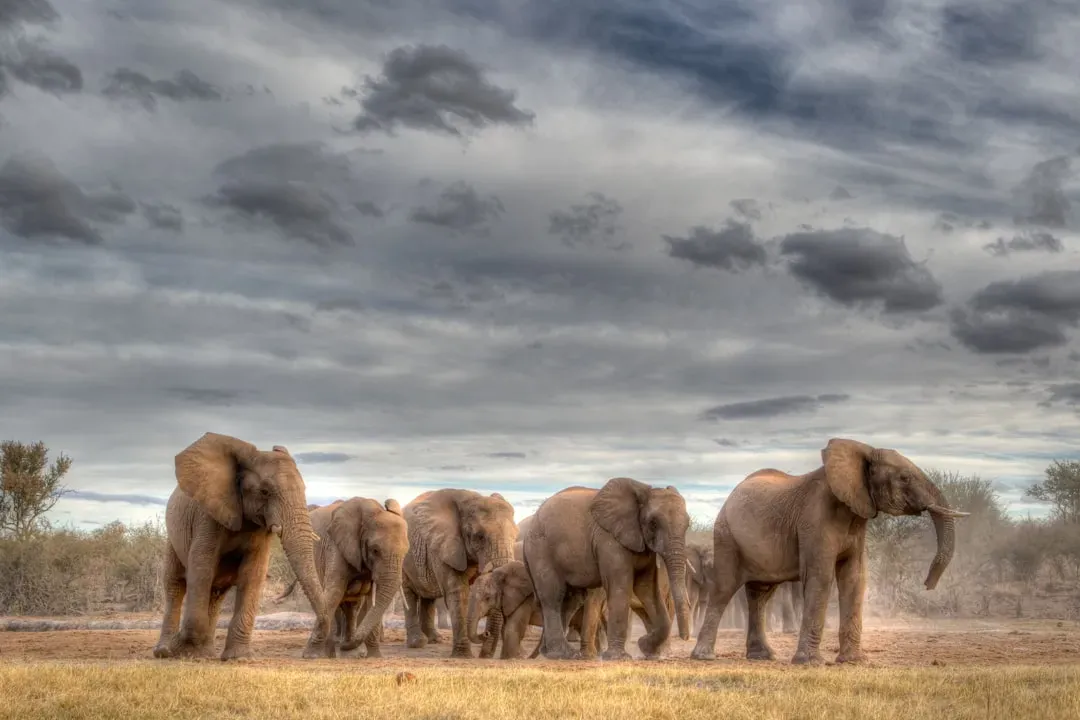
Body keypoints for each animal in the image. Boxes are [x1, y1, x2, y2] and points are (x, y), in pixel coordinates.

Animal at [152, 432, 329, 660]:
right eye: (264, 491)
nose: (311, 654)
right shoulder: (207, 516)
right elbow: (201, 567)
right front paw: (186, 652)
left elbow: (252, 573)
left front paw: (238, 657)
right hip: (173, 539)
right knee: (175, 585)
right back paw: (166, 651)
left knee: (216, 593)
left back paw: (207, 652)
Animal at [273, 497, 408, 657]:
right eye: (375, 550)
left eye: (406, 551)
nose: (346, 646)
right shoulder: (336, 547)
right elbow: (334, 593)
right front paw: (311, 656)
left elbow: (372, 601)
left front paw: (375, 657)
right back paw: (331, 653)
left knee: (352, 607)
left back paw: (348, 653)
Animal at [401, 488, 518, 658]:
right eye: (479, 537)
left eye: (515, 536)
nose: (485, 634)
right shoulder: (444, 545)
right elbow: (458, 593)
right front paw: (463, 655)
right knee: (408, 592)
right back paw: (418, 643)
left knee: (428, 597)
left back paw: (435, 640)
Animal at [523, 478, 692, 660]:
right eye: (653, 523)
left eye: (688, 525)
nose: (686, 638)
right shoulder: (609, 540)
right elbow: (620, 587)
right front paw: (619, 657)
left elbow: (647, 589)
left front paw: (645, 647)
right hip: (541, 550)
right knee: (553, 596)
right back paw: (562, 654)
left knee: (570, 600)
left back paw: (552, 653)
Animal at [691, 437, 970, 665]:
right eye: (904, 478)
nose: (927, 584)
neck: (862, 452)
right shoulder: (814, 521)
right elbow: (821, 577)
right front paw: (810, 663)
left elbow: (854, 578)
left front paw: (854, 662)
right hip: (726, 535)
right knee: (725, 588)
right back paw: (704, 656)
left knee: (761, 594)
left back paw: (763, 656)